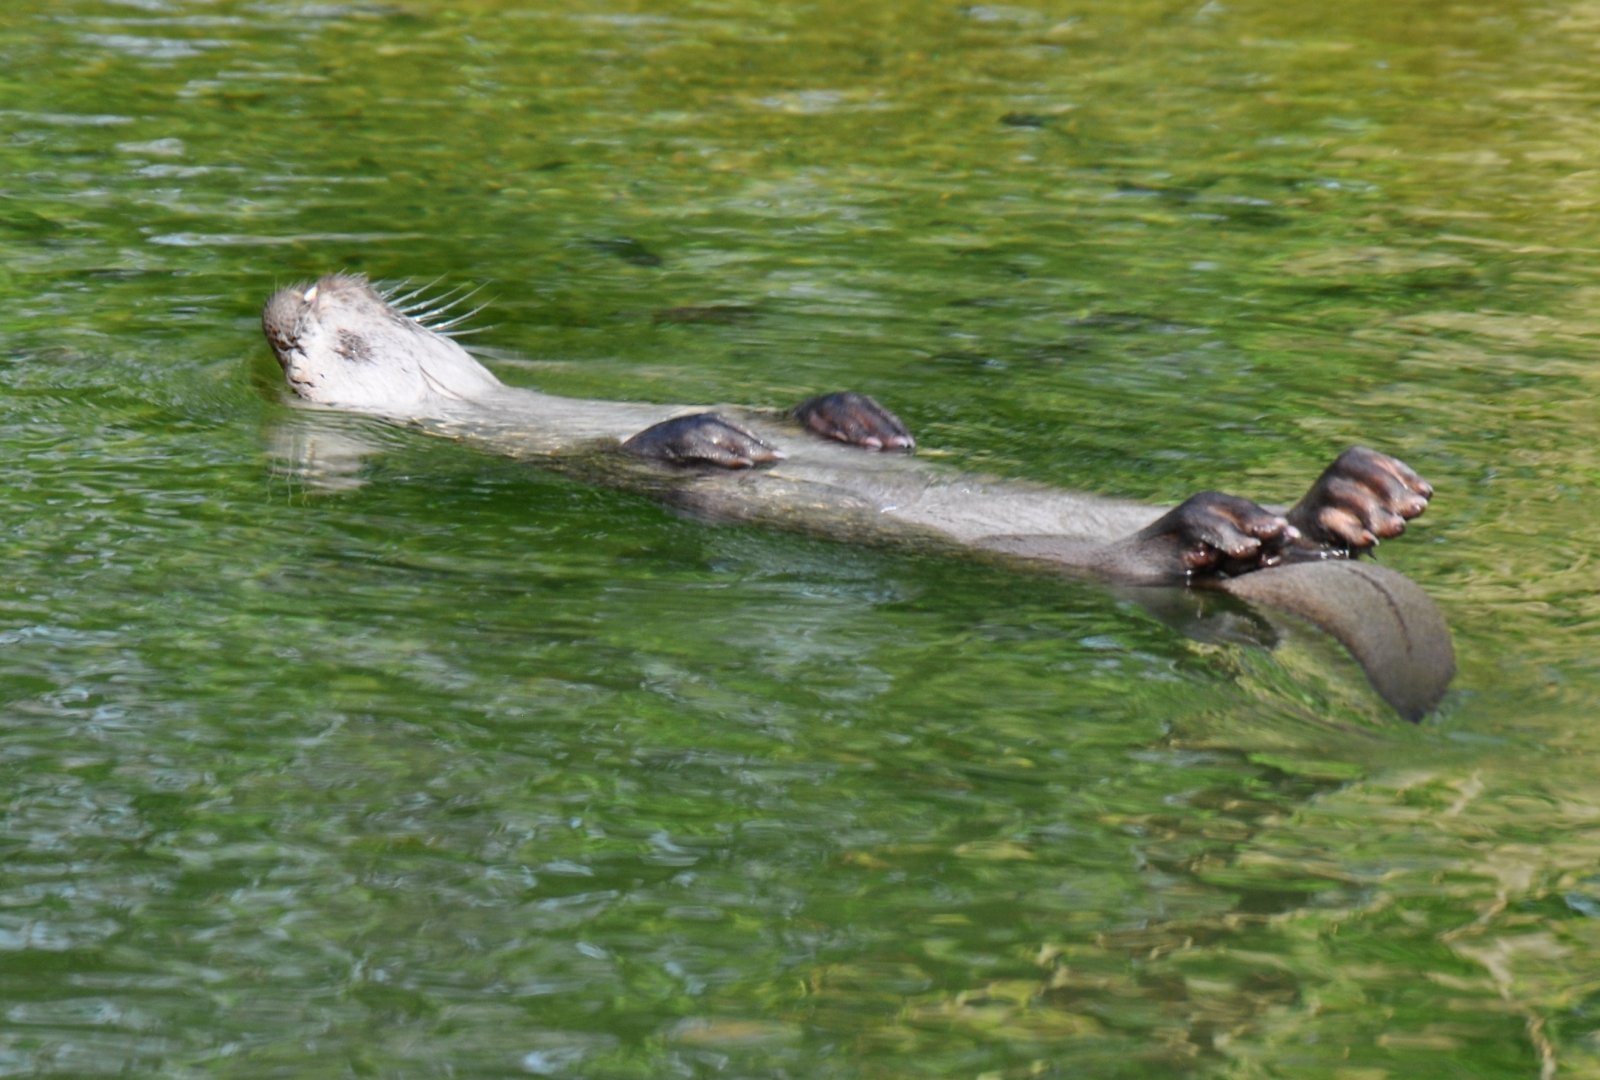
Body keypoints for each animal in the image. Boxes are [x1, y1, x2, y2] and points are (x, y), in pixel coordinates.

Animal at [259, 275, 1452, 723]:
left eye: (330, 298)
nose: (301, 294)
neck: (528, 414)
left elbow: (804, 409)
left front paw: (855, 418)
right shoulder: (583, 459)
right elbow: (656, 449)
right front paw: (715, 443)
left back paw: (1361, 498)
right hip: (1099, 560)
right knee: (1167, 559)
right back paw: (1224, 525)